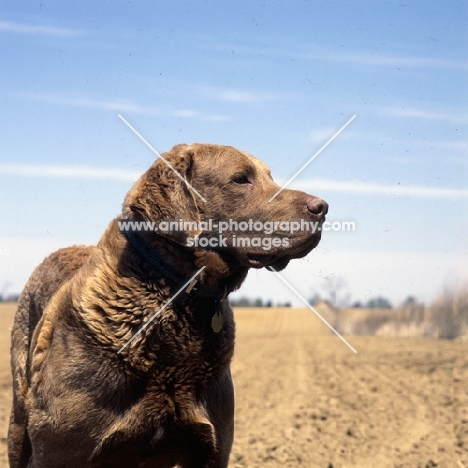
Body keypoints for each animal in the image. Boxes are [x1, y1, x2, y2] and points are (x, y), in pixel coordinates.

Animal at [8, 144, 330, 466]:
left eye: (270, 177)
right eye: (240, 179)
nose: (323, 207)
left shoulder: (212, 449)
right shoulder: (59, 452)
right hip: (18, 420)